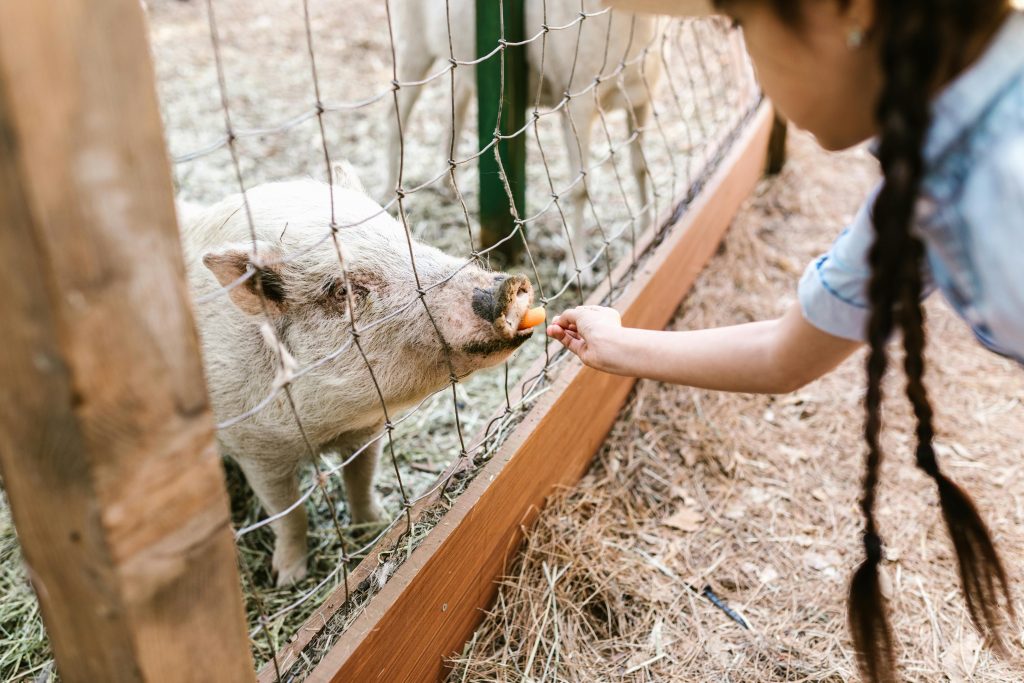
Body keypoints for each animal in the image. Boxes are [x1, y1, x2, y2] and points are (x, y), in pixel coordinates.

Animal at [180, 165, 536, 585]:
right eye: (343, 290)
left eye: (405, 236)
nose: (506, 285)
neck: (324, 430)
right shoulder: (255, 450)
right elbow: (288, 515)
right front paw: (289, 577)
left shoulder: (368, 430)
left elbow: (361, 479)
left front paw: (375, 526)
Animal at [387, 0, 664, 265]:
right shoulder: (577, 104)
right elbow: (580, 187)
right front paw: (577, 265)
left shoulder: (642, 99)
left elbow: (640, 169)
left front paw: (647, 232)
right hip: (412, 46)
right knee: (396, 116)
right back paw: (391, 199)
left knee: (455, 106)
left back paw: (448, 184)